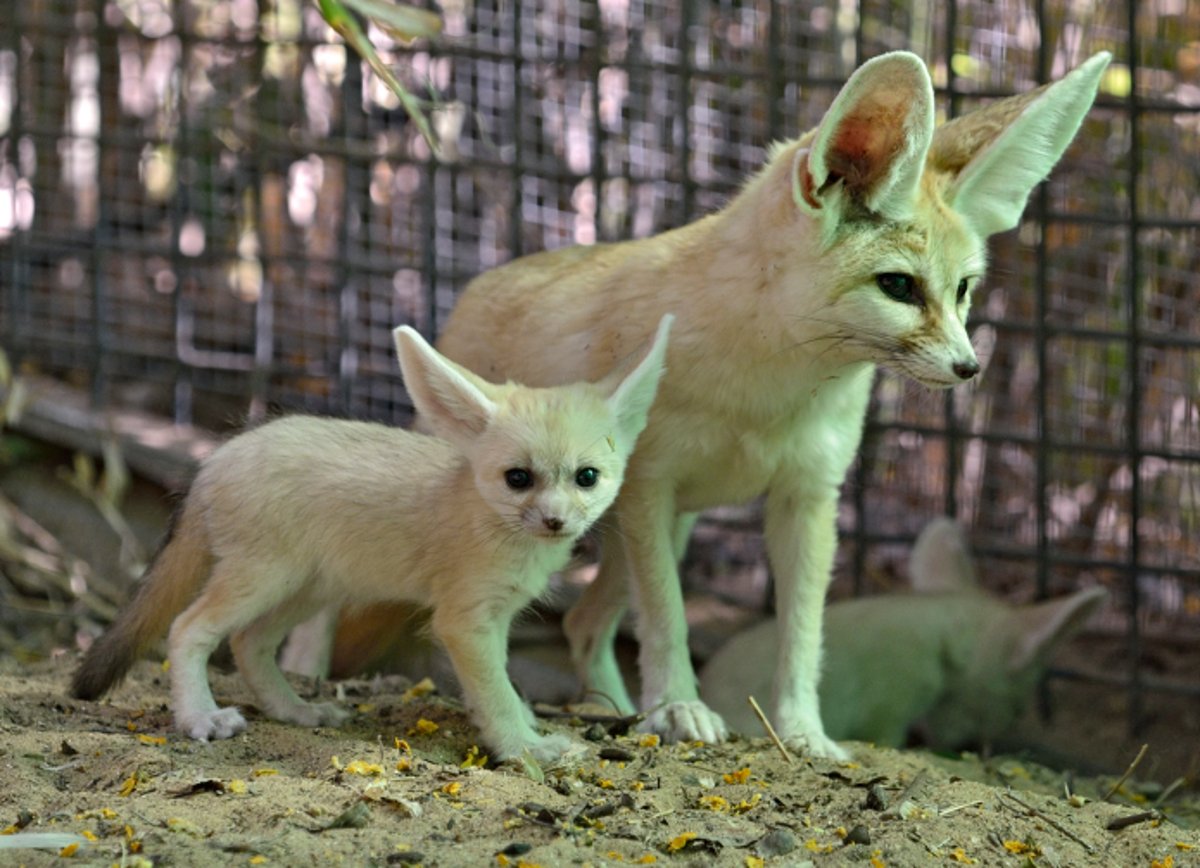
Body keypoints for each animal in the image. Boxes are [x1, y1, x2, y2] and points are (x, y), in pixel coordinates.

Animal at [304, 49, 1108, 758]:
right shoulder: (650, 490)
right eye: (899, 287)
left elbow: (803, 636)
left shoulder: (806, 498)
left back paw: (610, 708)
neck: (772, 392)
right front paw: (680, 707)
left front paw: (802, 731)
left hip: (648, 528)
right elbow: (671, 618)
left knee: (585, 624)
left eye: (965, 290)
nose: (970, 368)